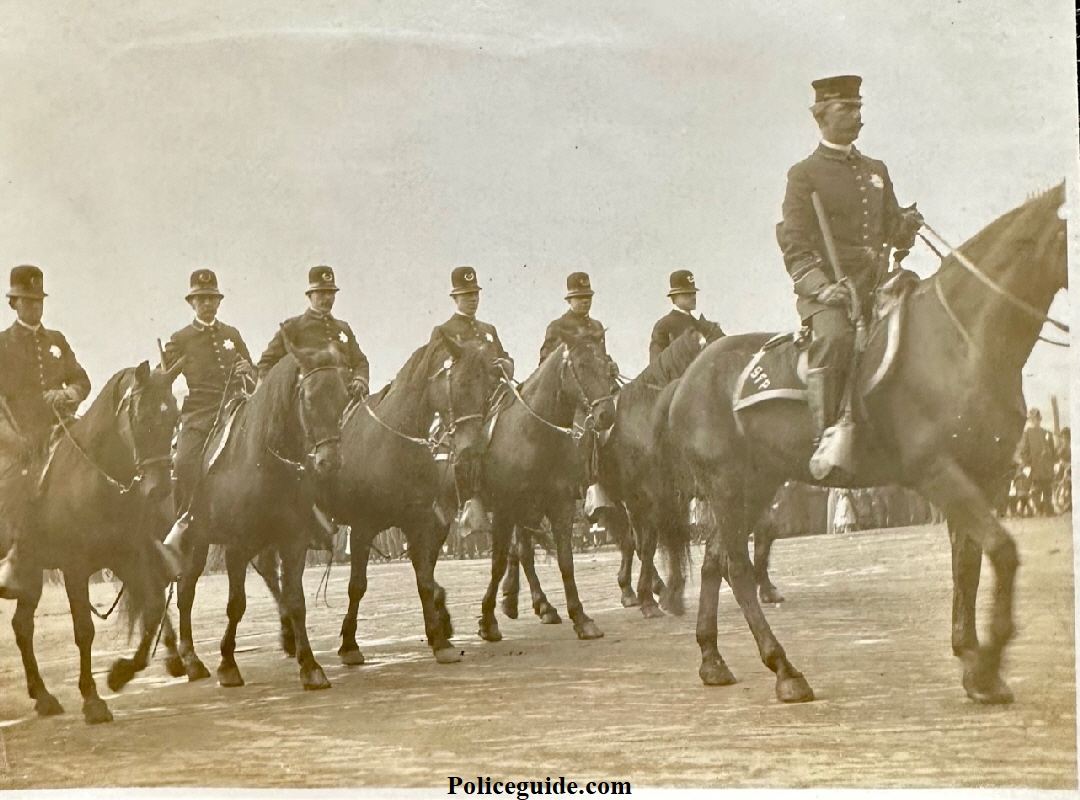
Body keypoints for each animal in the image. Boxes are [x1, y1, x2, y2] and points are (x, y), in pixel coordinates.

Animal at [1, 362, 181, 725]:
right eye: (142, 417)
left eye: (174, 417)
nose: (159, 490)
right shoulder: (75, 568)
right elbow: (84, 630)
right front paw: (93, 700)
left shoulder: (125, 557)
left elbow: (153, 607)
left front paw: (121, 674)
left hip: (31, 575)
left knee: (22, 626)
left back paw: (43, 696)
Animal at [173, 345, 345, 690]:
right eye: (309, 399)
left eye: (344, 395)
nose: (329, 462)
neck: (260, 460)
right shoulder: (236, 548)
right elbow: (236, 604)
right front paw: (227, 664)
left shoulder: (292, 542)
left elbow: (296, 600)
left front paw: (310, 666)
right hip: (197, 541)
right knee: (186, 590)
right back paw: (191, 659)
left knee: (267, 573)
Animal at [324, 330, 496, 660]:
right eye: (461, 384)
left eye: (486, 389)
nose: (474, 452)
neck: (391, 442)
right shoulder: (362, 528)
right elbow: (357, 585)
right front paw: (349, 644)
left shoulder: (419, 522)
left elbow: (425, 579)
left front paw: (440, 638)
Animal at [479, 330, 622, 643]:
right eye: (581, 365)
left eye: (608, 366)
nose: (606, 415)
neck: (533, 434)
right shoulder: (504, 509)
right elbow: (497, 562)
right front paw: (487, 620)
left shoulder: (560, 506)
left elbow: (565, 560)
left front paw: (581, 618)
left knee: (524, 553)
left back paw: (539, 604)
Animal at [660, 184, 1067, 703]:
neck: (963, 342)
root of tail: (686, 379)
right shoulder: (938, 472)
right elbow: (1001, 550)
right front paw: (989, 663)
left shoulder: (986, 477)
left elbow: (968, 563)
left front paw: (972, 660)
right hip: (729, 485)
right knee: (736, 566)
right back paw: (785, 670)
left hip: (756, 485)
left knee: (714, 559)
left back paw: (712, 660)